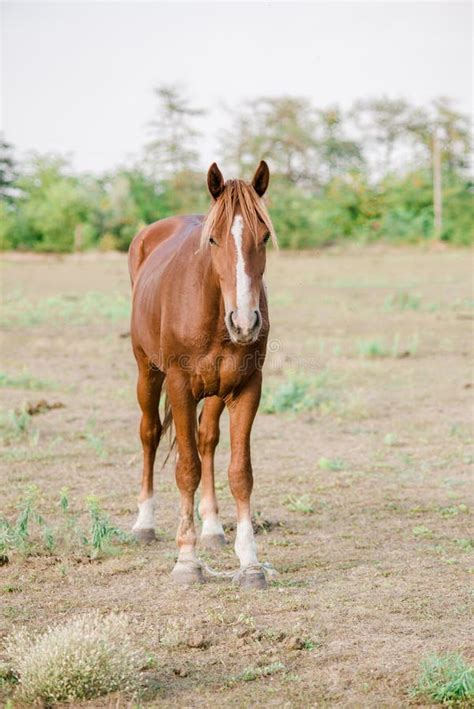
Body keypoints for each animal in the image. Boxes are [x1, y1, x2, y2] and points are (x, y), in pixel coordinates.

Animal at [128, 160, 276, 588]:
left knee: (207, 439)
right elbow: (186, 469)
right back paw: (144, 524)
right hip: (147, 371)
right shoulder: (179, 386)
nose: (244, 323)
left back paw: (211, 528)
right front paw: (187, 562)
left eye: (264, 236)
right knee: (150, 434)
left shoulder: (247, 388)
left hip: (215, 391)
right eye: (212, 240)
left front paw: (250, 564)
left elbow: (240, 473)